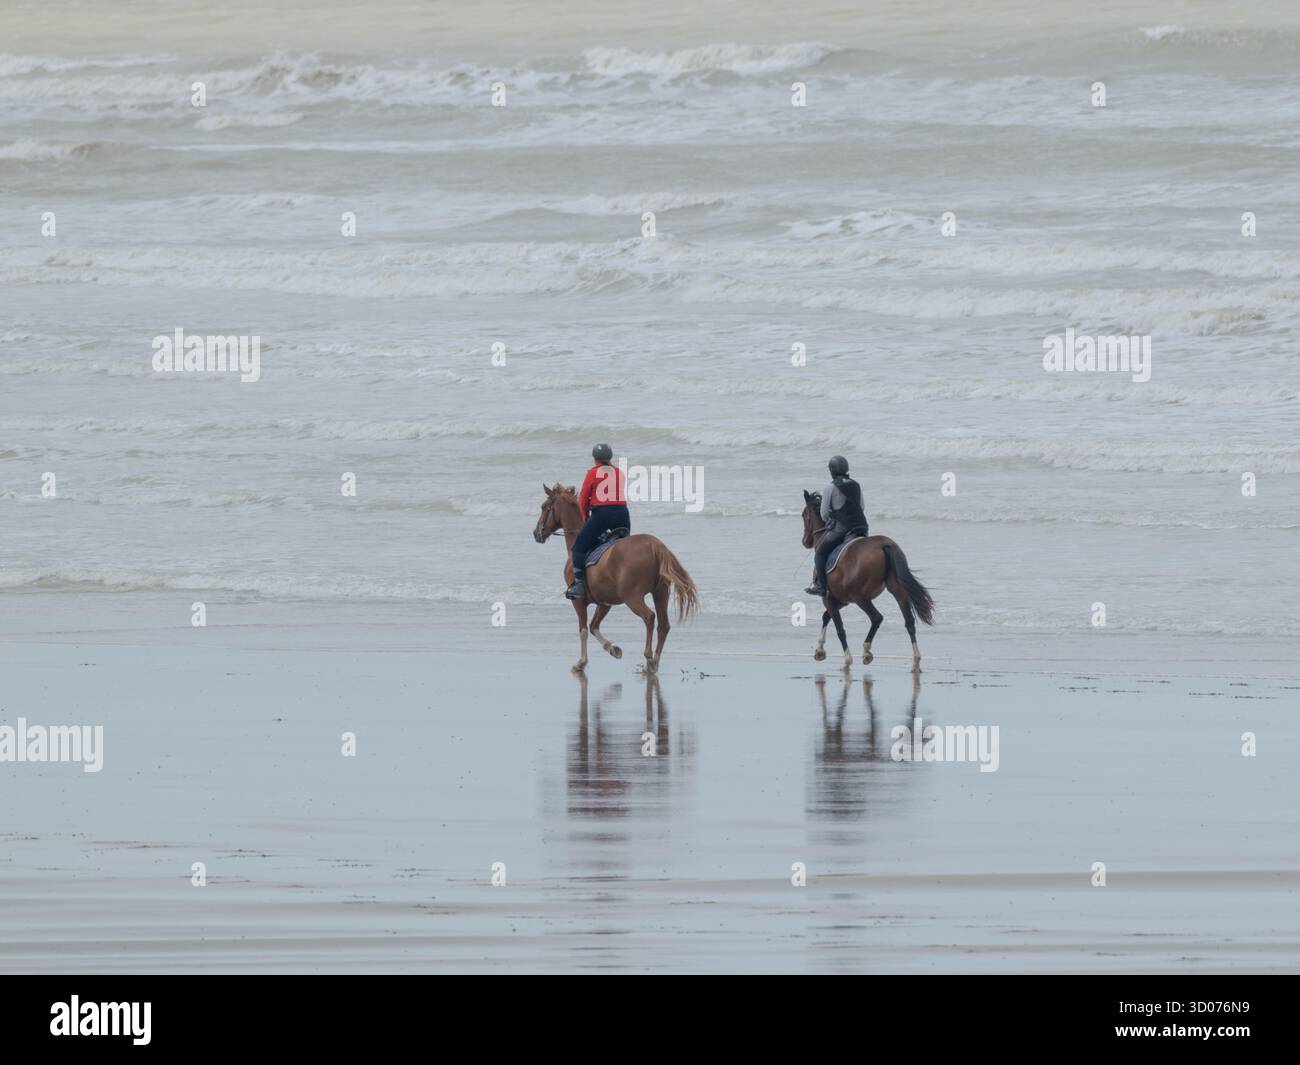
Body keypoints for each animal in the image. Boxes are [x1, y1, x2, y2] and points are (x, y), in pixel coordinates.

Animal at [535, 483, 698, 674]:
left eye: (544, 507)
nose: (536, 533)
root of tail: (655, 545)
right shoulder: (604, 603)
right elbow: (594, 626)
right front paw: (613, 649)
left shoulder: (578, 601)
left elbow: (583, 630)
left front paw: (581, 662)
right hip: (661, 593)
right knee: (663, 625)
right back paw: (654, 662)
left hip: (632, 597)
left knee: (649, 617)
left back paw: (649, 657)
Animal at [800, 489, 935, 672]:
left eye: (803, 514)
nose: (805, 541)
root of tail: (884, 544)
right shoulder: (841, 600)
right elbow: (826, 617)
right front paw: (819, 650)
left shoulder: (829, 598)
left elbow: (838, 627)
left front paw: (846, 660)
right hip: (897, 590)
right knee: (909, 622)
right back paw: (915, 661)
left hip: (861, 598)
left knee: (877, 618)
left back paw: (866, 651)